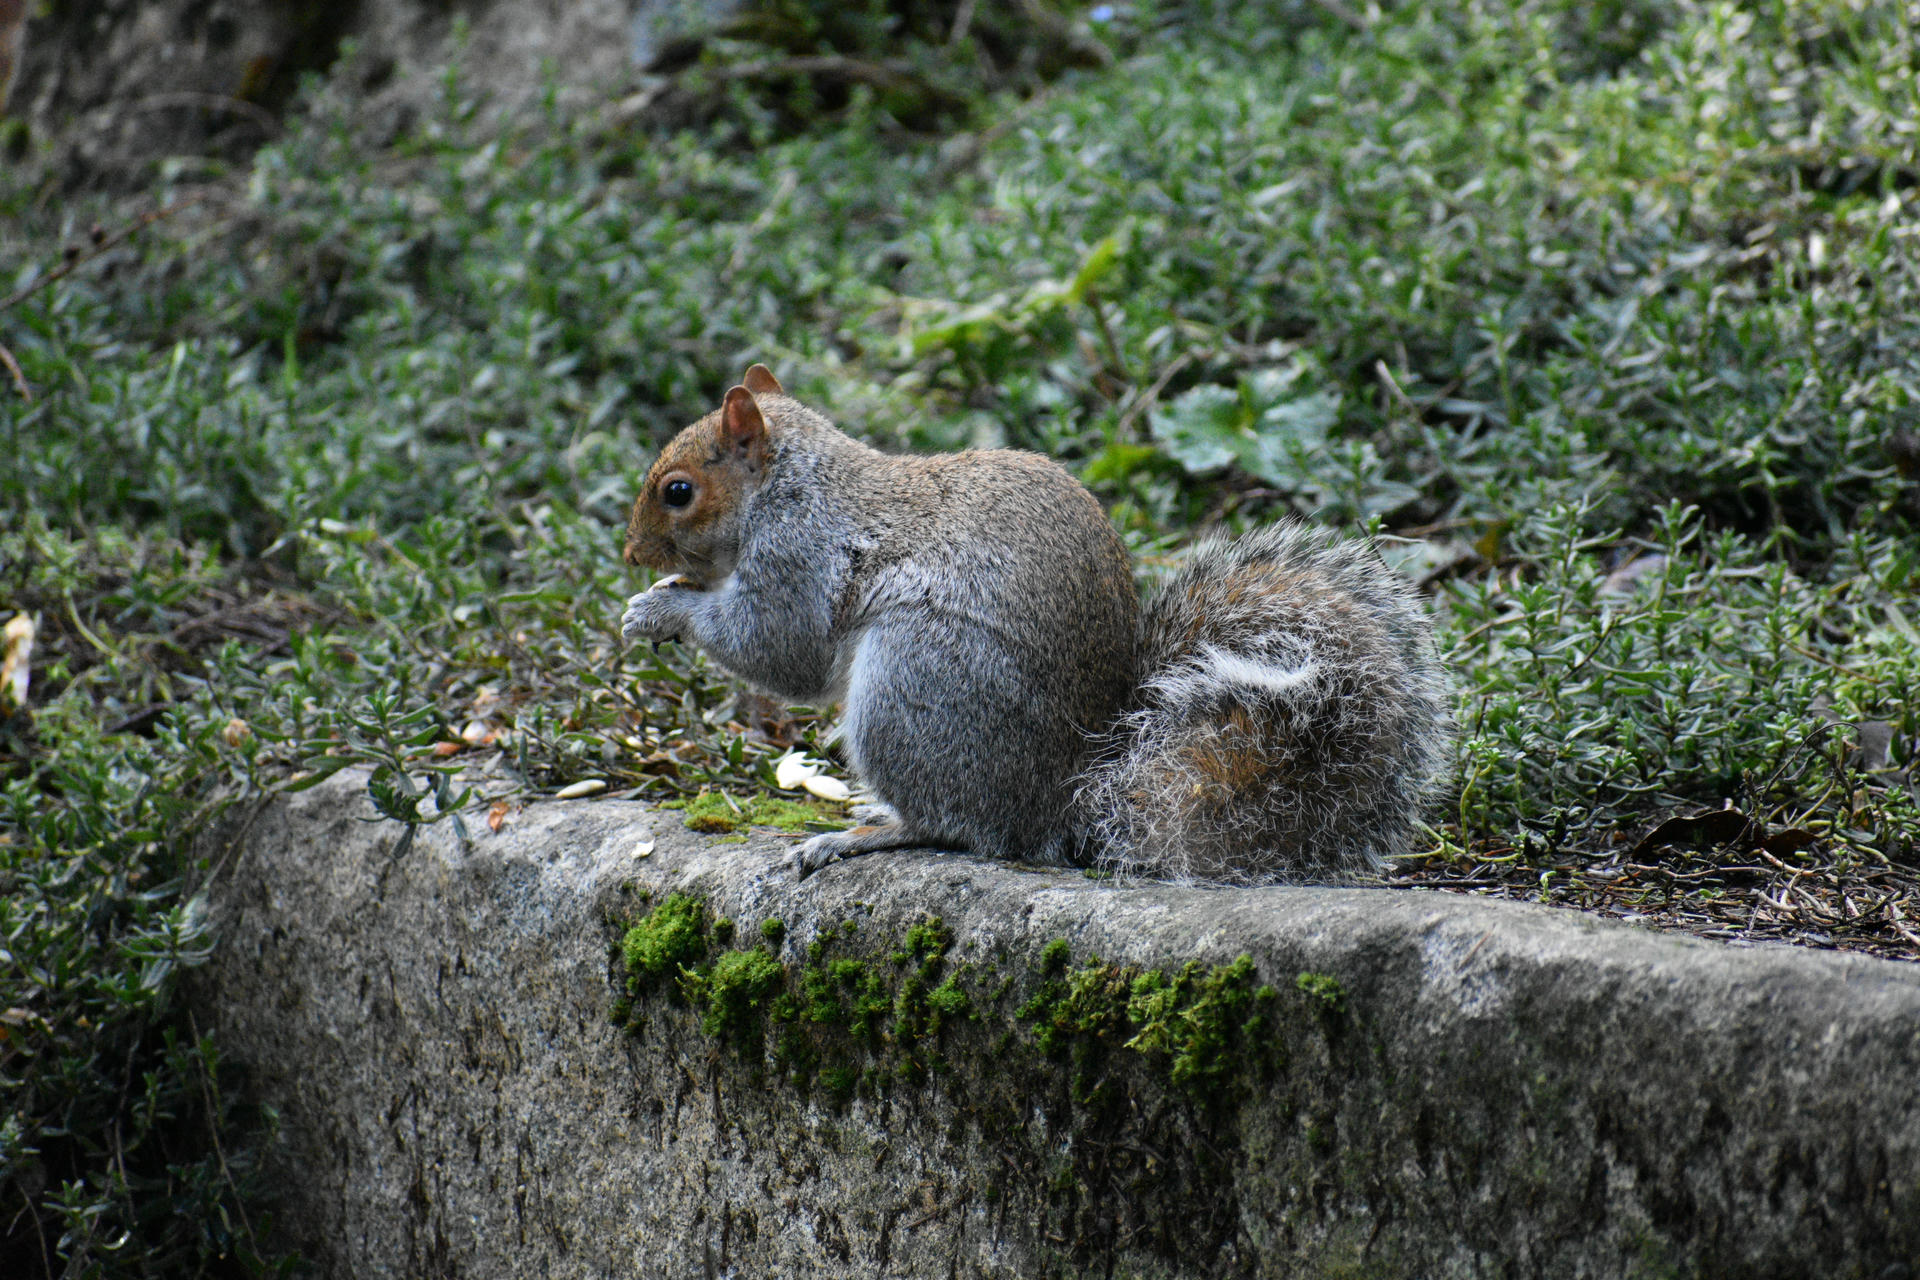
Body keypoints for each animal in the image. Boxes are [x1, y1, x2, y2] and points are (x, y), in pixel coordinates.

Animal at [620, 365, 1453, 883]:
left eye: (677, 491)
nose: (631, 553)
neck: (792, 484)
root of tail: (1057, 805)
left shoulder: (802, 553)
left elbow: (778, 646)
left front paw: (662, 609)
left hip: (913, 683)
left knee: (953, 826)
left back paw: (863, 833)